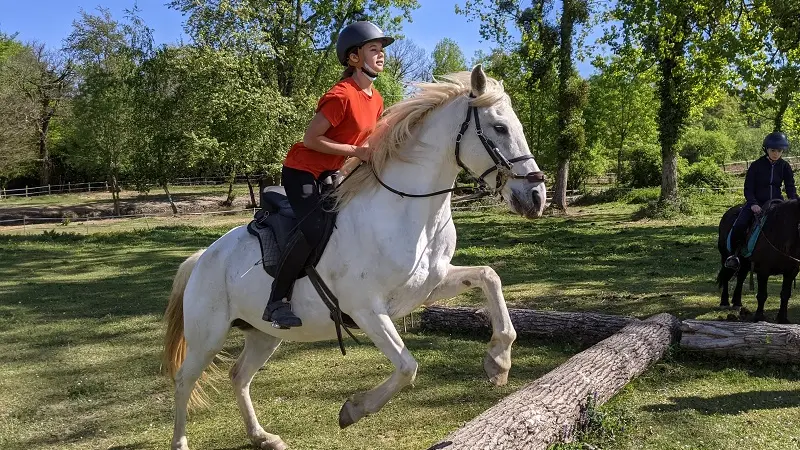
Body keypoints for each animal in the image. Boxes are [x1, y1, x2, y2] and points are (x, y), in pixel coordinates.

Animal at [162, 64, 552, 450]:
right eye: (499, 128)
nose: (536, 196)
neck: (405, 211)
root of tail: (203, 257)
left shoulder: (430, 287)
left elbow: (489, 277)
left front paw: (498, 362)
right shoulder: (367, 310)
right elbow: (407, 366)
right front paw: (353, 409)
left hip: (263, 333)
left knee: (239, 376)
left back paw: (263, 437)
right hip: (208, 335)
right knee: (184, 381)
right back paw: (181, 442)